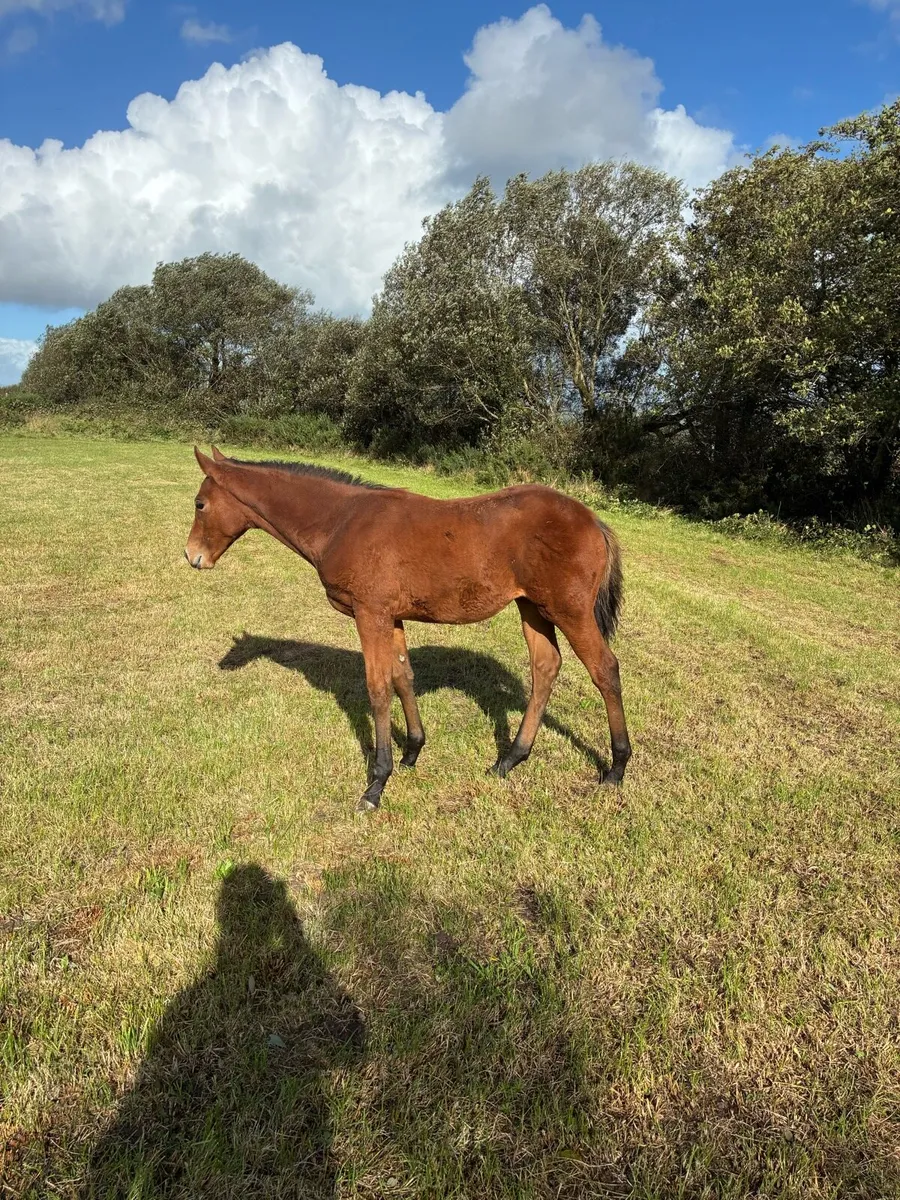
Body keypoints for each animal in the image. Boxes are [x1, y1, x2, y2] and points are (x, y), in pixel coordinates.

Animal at [185, 447, 631, 811]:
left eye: (200, 503)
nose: (192, 557)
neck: (341, 522)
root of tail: (594, 521)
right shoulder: (392, 617)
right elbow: (403, 676)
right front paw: (412, 752)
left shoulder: (370, 614)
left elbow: (378, 688)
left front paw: (376, 784)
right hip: (532, 608)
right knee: (545, 667)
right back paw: (509, 759)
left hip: (569, 610)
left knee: (604, 669)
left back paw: (616, 769)